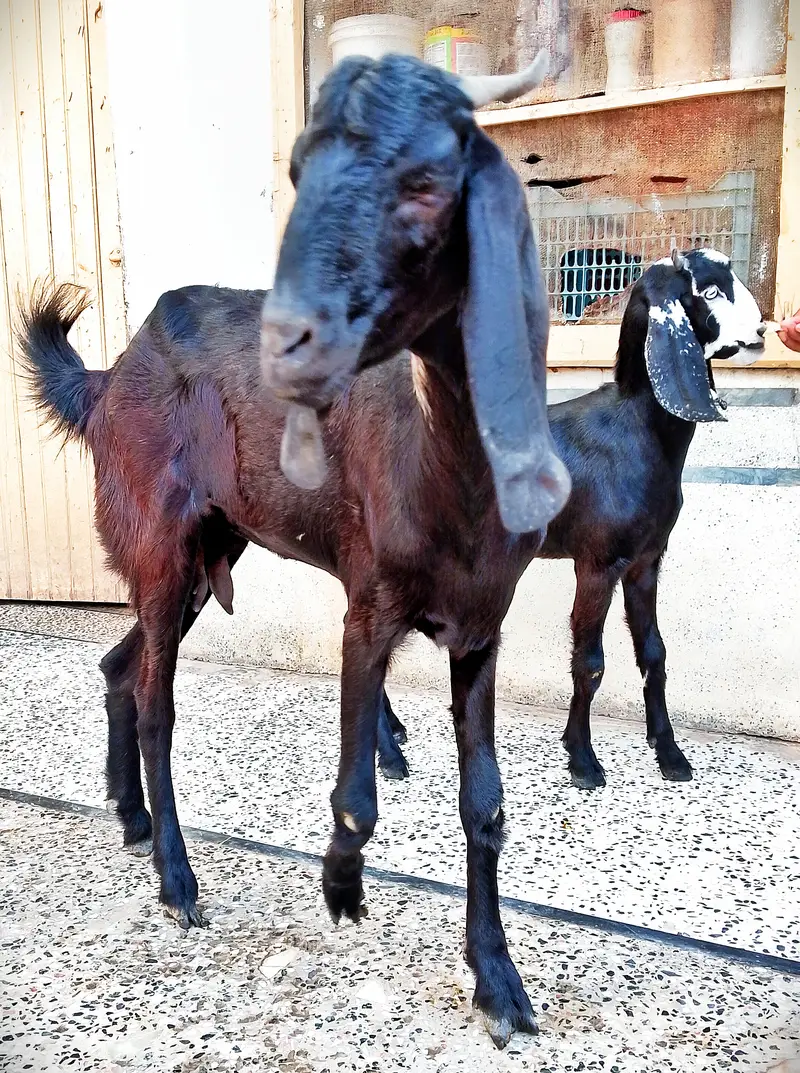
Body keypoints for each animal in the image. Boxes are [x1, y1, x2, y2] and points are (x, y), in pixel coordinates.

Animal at [19, 54, 570, 1047]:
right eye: (299, 175)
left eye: (427, 182)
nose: (297, 336)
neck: (451, 470)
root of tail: (112, 375)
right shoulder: (369, 609)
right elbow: (358, 791)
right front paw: (342, 883)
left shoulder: (482, 630)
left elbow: (486, 805)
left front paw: (499, 982)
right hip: (162, 546)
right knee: (155, 704)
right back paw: (177, 877)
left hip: (202, 558)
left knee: (121, 668)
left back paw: (129, 814)